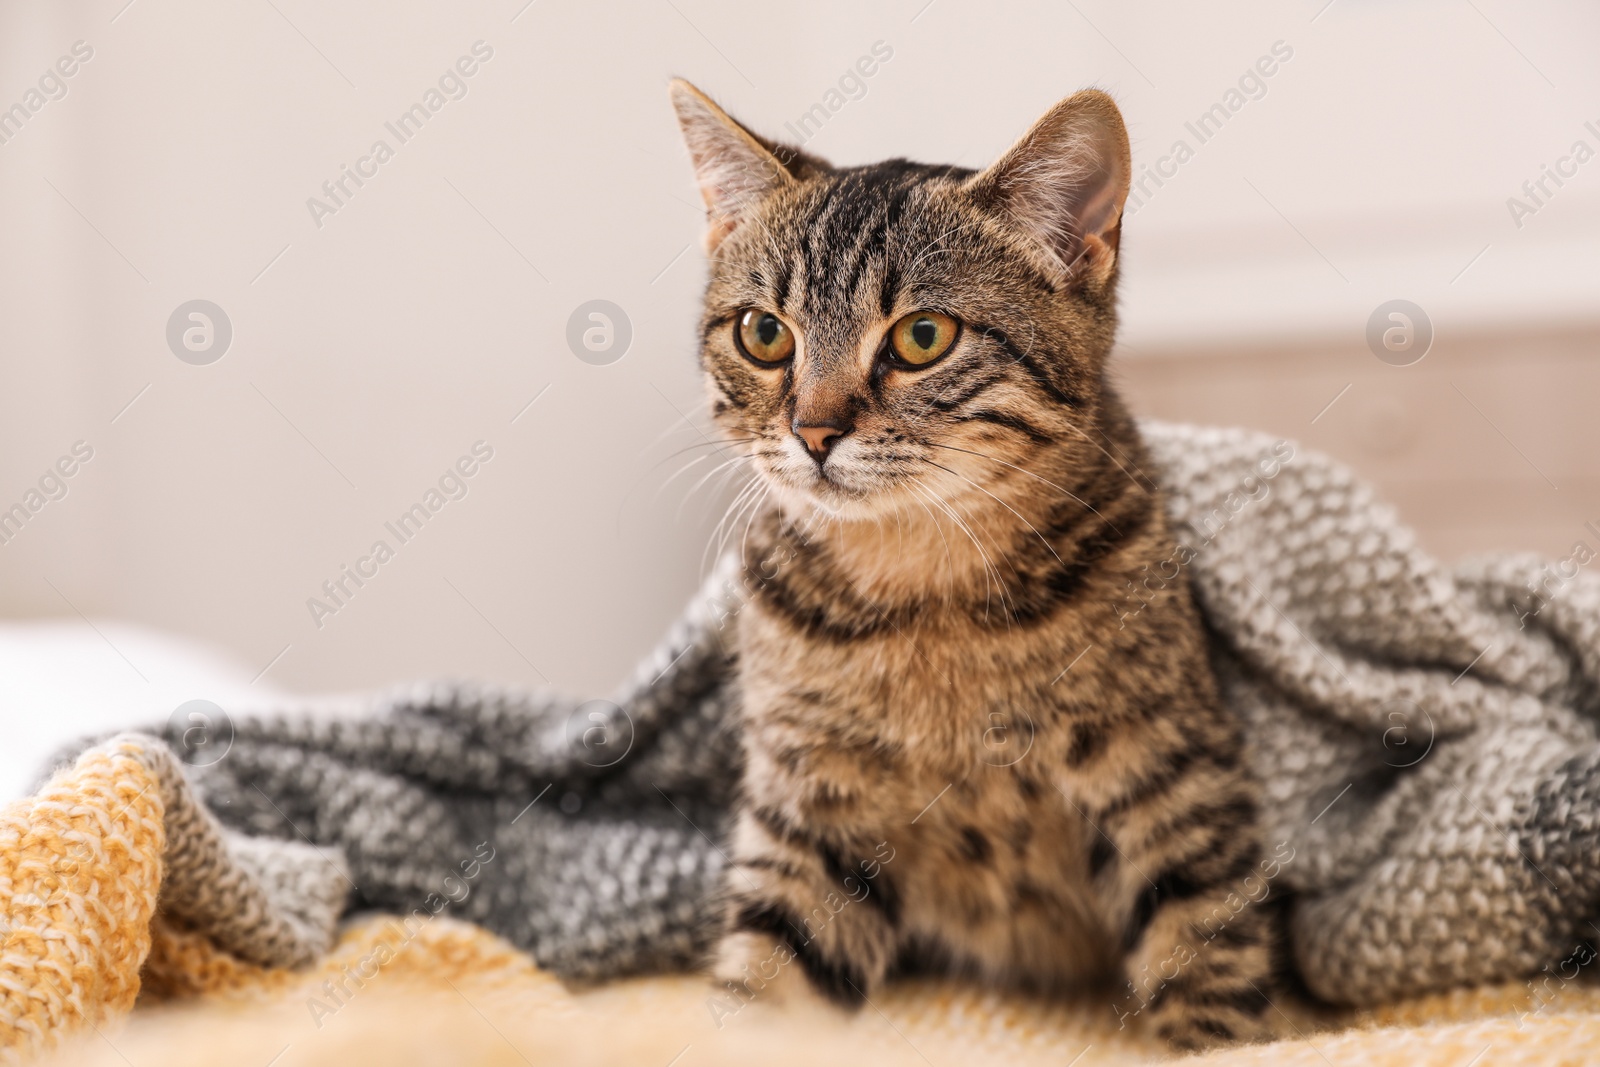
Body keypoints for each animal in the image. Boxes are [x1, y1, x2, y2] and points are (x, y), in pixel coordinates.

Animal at [668, 79, 1280, 1049]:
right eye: (765, 333)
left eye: (923, 336)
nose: (812, 430)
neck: (926, 597)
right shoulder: (812, 804)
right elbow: (766, 981)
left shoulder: (1170, 767)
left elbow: (1205, 949)